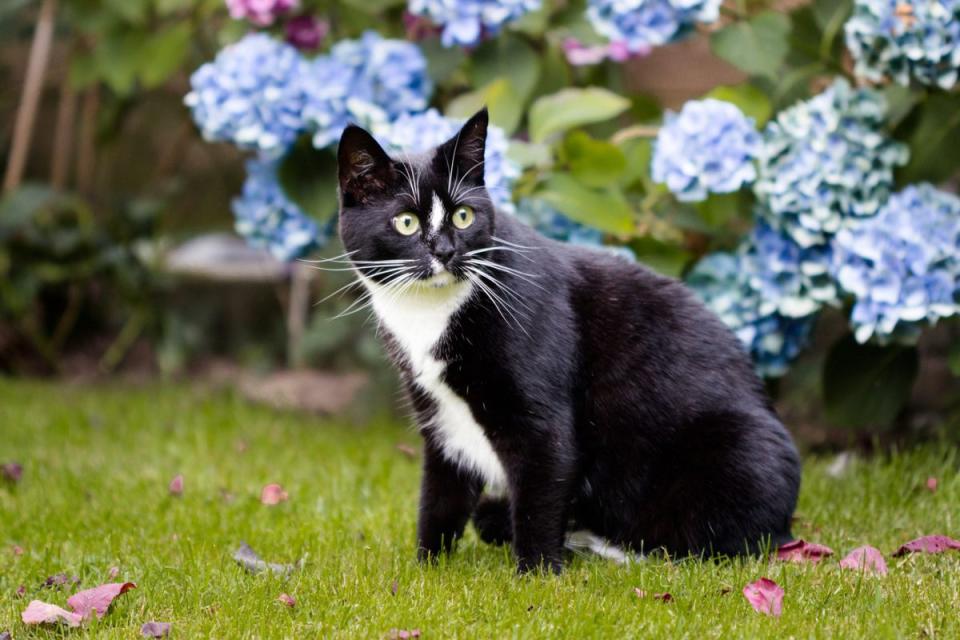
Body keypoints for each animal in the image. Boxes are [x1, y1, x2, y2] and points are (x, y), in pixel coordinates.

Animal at [334, 107, 800, 572]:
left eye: (463, 215)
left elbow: (541, 484)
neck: (430, 313)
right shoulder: (438, 412)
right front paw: (428, 567)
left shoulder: (541, 415)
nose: (446, 251)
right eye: (406, 222)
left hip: (739, 449)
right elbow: (440, 494)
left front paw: (537, 574)